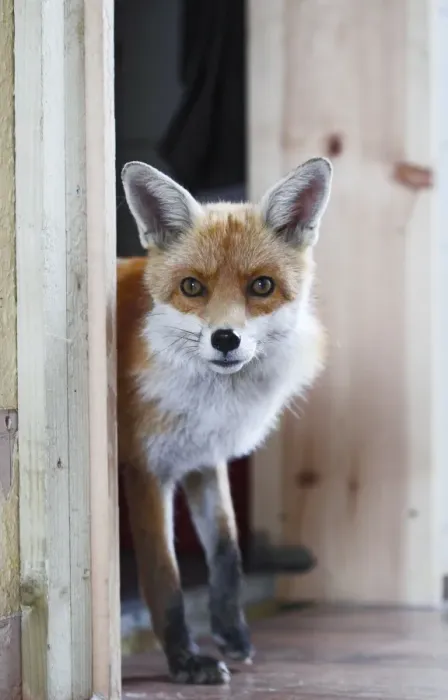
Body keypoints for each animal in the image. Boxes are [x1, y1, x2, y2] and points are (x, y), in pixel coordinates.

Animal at [118, 156, 333, 685]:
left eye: (262, 286)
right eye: (192, 287)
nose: (225, 339)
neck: (208, 406)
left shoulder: (203, 460)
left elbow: (228, 554)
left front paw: (231, 633)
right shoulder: (146, 469)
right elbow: (164, 576)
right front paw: (184, 661)